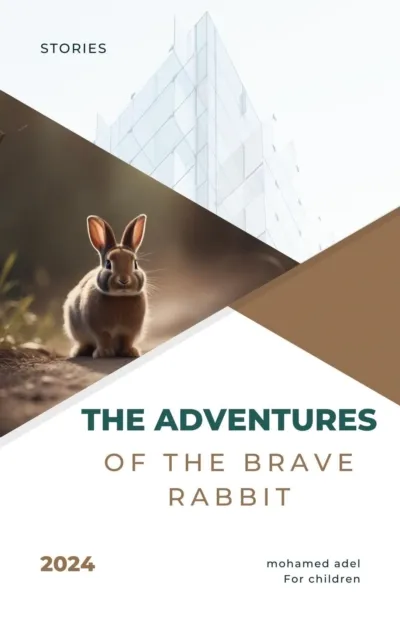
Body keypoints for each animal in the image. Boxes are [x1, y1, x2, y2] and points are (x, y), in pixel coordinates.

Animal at [63, 214, 148, 359]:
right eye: (108, 264)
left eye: (135, 264)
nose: (124, 280)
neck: (120, 297)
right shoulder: (100, 329)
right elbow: (104, 339)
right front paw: (104, 353)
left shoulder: (129, 331)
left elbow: (127, 340)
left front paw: (130, 352)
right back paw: (79, 351)